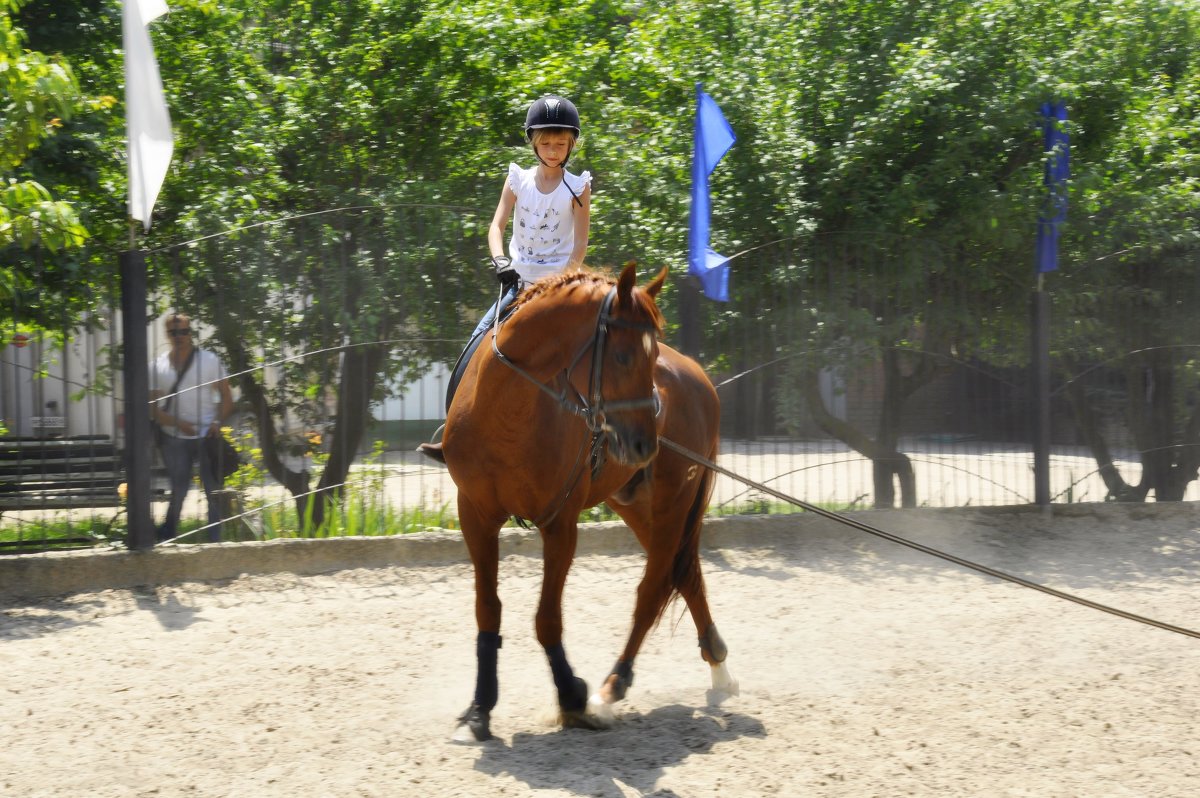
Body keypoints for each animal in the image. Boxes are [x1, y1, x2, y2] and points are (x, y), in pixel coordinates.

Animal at [441, 261, 729, 739]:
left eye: (652, 356)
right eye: (623, 356)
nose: (643, 444)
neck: (508, 410)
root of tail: (699, 375)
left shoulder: (560, 524)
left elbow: (546, 618)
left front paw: (572, 695)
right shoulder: (476, 515)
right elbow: (488, 610)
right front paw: (480, 707)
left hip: (674, 498)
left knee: (654, 585)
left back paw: (615, 683)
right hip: (632, 501)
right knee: (682, 573)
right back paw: (719, 665)